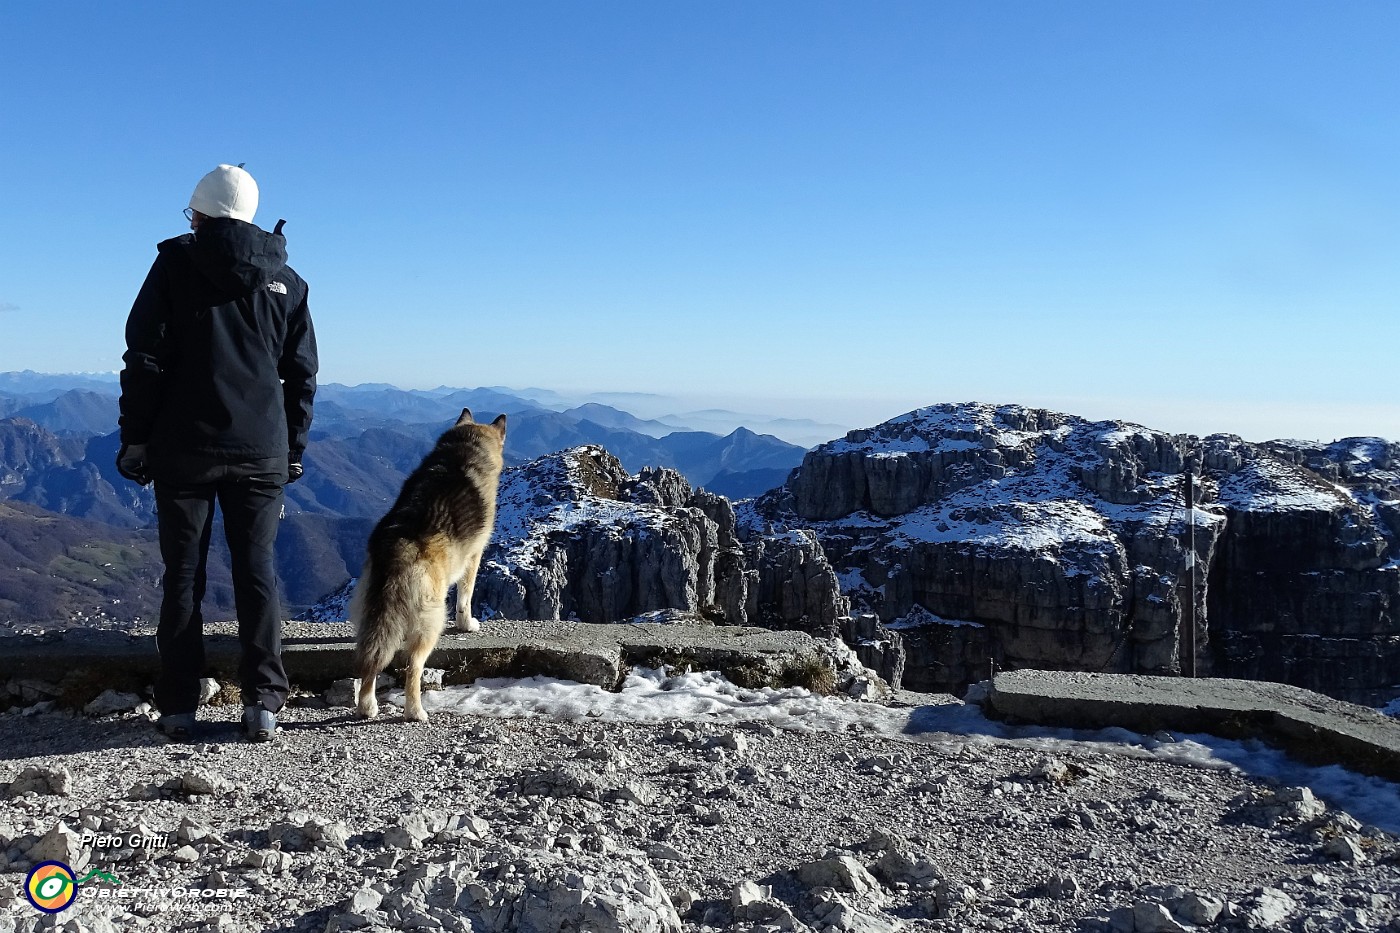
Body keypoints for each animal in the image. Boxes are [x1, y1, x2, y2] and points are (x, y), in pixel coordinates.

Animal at [350, 406, 509, 717]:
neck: (465, 448)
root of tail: (398, 548)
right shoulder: (473, 557)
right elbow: (466, 598)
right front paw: (467, 624)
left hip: (371, 613)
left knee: (371, 657)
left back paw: (367, 705)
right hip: (431, 620)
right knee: (412, 666)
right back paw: (415, 711)